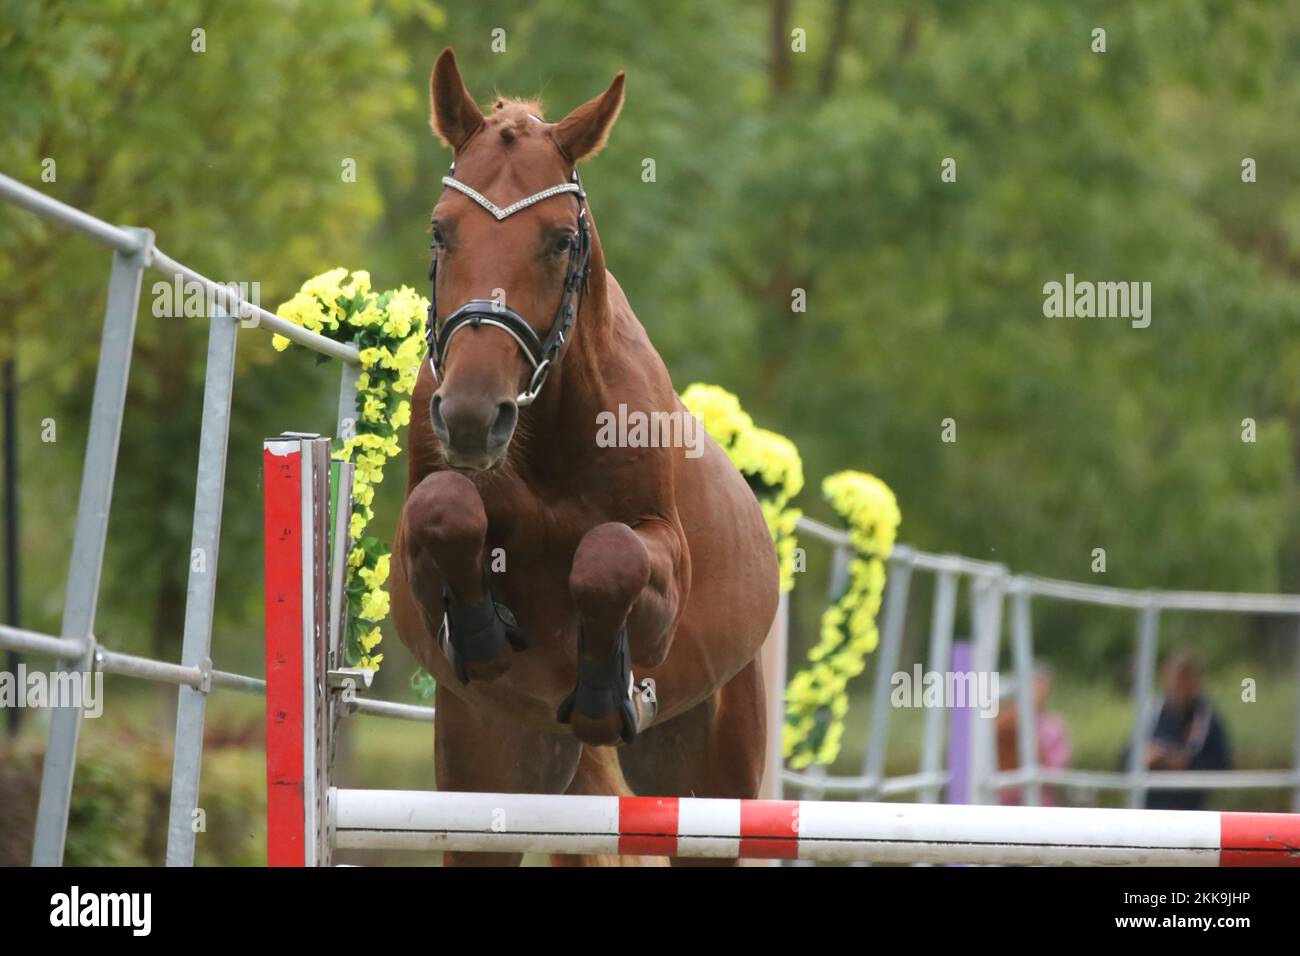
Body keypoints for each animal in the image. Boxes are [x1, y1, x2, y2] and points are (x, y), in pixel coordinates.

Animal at [390, 48, 779, 866]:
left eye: (560, 241)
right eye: (441, 231)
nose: (472, 416)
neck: (545, 437)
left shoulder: (663, 567)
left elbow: (610, 556)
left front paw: (605, 690)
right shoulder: (419, 542)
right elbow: (446, 508)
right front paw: (480, 630)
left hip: (714, 780)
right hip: (491, 777)